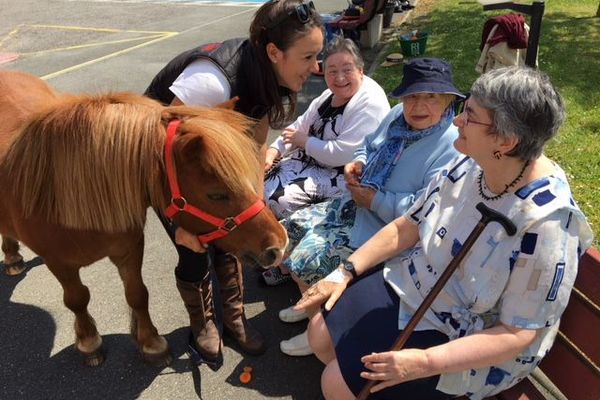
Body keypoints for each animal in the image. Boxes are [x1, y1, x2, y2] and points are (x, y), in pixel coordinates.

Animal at [0, 71, 288, 366]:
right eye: (216, 194)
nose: (280, 244)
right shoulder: (58, 262)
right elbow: (77, 299)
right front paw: (90, 343)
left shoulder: (128, 249)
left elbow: (138, 294)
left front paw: (151, 343)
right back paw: (12, 257)